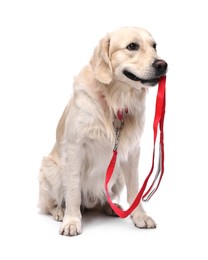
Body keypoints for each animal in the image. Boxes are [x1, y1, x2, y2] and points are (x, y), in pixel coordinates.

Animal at [38, 26, 167, 236]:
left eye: (154, 46)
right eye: (132, 46)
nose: (163, 65)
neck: (115, 100)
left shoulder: (133, 150)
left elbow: (135, 189)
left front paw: (139, 216)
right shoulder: (75, 148)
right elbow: (73, 191)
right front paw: (71, 221)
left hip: (118, 173)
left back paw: (112, 208)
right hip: (51, 169)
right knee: (51, 202)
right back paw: (59, 211)